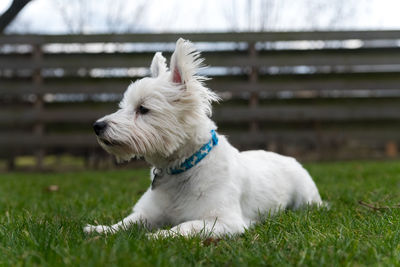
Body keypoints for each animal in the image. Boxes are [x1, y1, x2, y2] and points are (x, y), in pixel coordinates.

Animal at [84, 38, 322, 239]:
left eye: (143, 109)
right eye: (122, 106)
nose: (97, 126)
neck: (181, 167)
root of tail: (287, 157)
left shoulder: (224, 221)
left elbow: (185, 226)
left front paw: (159, 235)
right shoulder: (149, 213)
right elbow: (127, 222)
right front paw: (100, 229)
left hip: (305, 198)